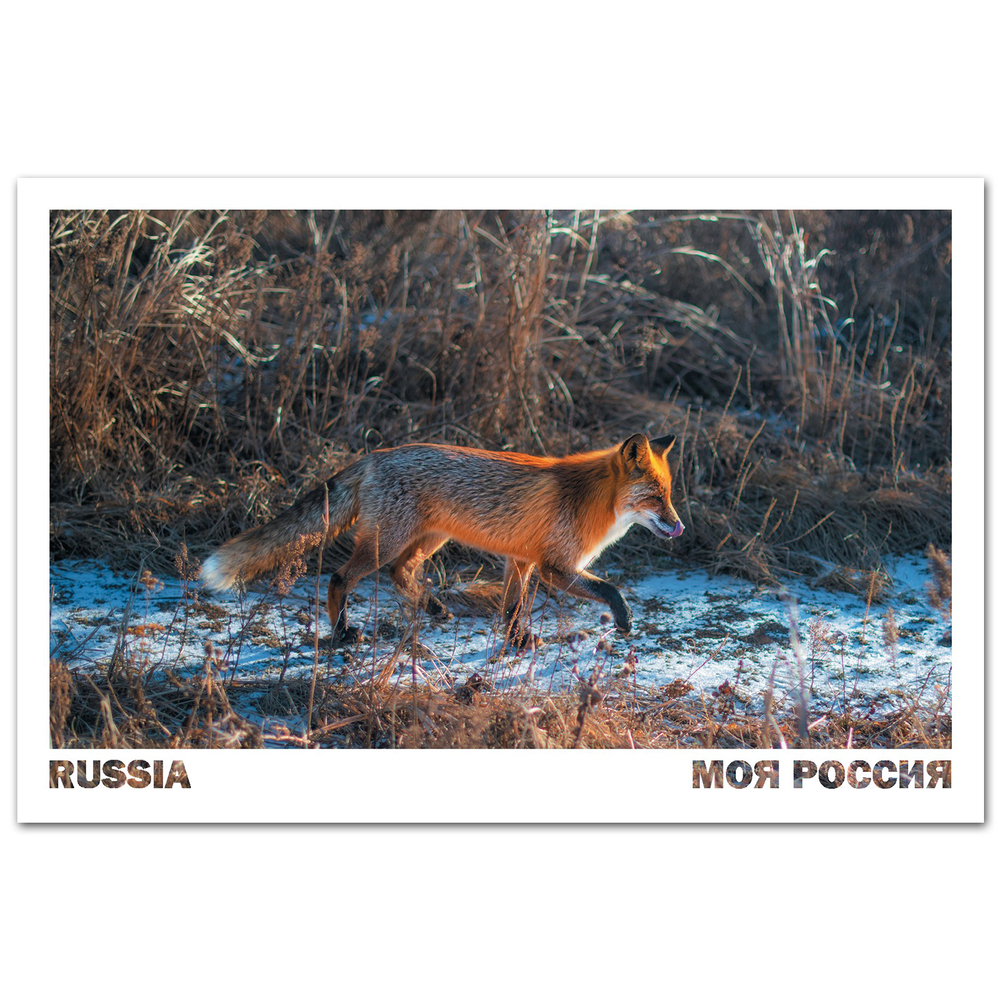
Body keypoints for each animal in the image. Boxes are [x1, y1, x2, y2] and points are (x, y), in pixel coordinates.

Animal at [200, 433, 684, 646]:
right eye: (656, 496)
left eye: (669, 494)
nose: (679, 526)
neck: (590, 498)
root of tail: (374, 456)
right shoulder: (554, 566)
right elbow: (611, 588)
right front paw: (624, 620)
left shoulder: (521, 561)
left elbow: (512, 609)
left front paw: (517, 642)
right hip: (386, 542)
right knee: (340, 578)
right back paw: (341, 633)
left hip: (425, 540)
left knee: (400, 574)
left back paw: (432, 607)